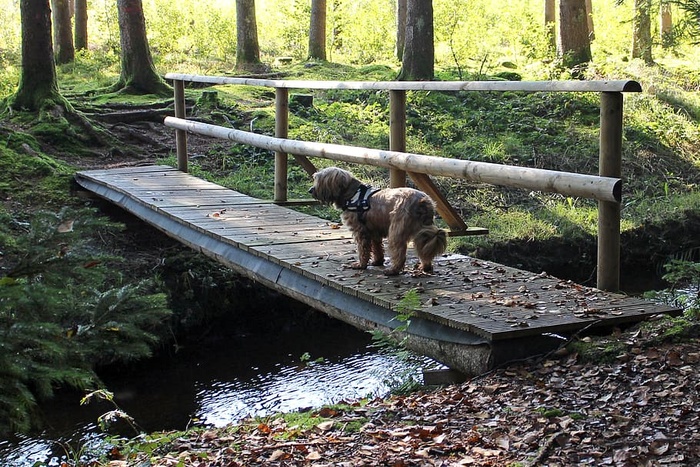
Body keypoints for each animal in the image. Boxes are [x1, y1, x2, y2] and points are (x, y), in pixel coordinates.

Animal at [308, 167, 448, 276]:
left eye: (319, 180)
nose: (310, 190)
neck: (353, 194)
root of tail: (423, 201)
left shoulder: (360, 231)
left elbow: (363, 250)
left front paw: (361, 264)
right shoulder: (374, 231)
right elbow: (377, 248)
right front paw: (377, 261)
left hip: (397, 231)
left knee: (399, 253)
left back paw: (393, 270)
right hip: (422, 232)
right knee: (424, 248)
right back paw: (425, 267)